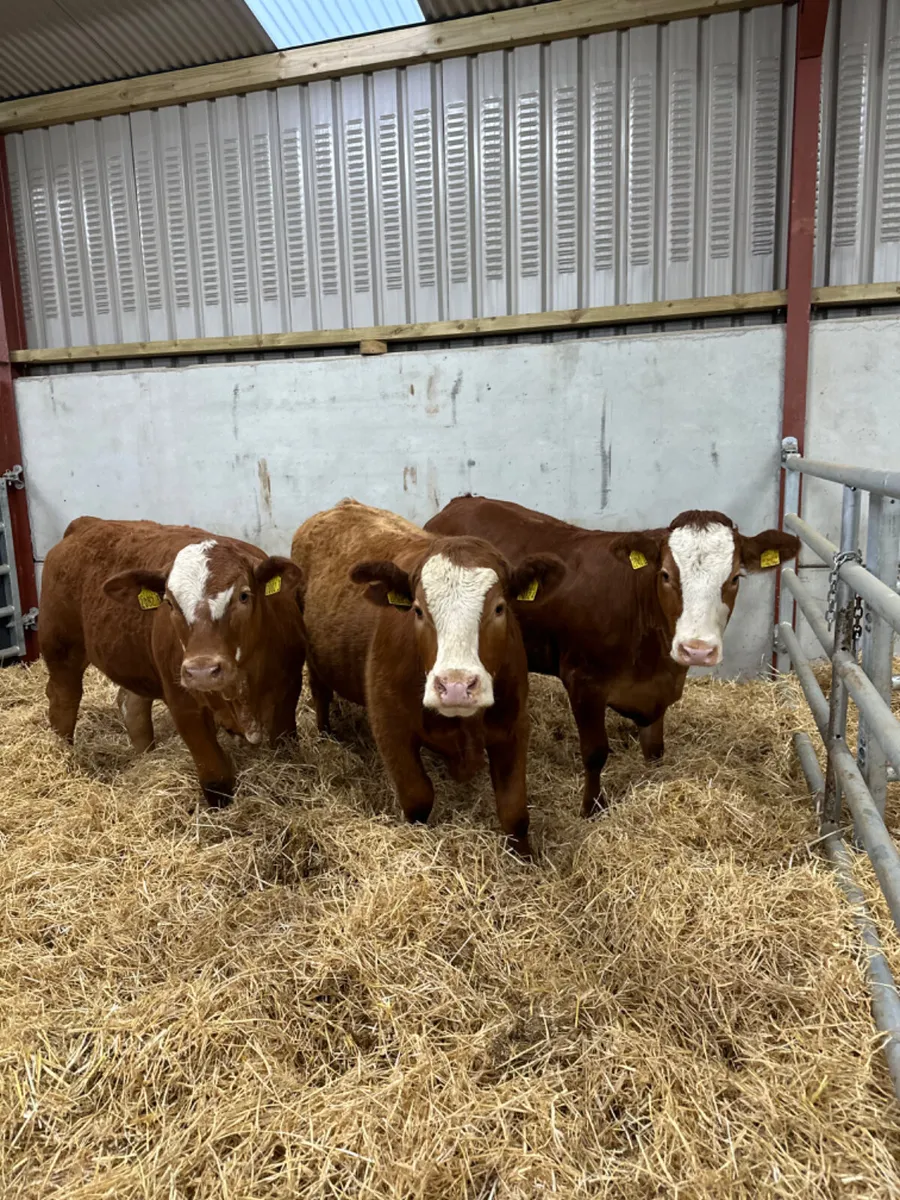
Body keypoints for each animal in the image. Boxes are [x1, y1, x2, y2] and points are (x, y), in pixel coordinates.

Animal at [40, 517, 306, 806]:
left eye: (244, 595)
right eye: (169, 602)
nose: (202, 671)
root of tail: (86, 523)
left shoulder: (288, 691)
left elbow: (285, 752)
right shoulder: (184, 704)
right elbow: (216, 779)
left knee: (131, 705)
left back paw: (145, 755)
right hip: (61, 649)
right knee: (63, 700)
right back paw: (62, 752)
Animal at [291, 499, 565, 857]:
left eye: (499, 608)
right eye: (418, 610)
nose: (456, 687)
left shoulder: (514, 724)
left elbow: (514, 811)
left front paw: (526, 860)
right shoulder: (390, 726)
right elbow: (418, 798)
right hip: (313, 655)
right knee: (320, 693)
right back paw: (327, 733)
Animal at [425, 497, 800, 816]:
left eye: (735, 578)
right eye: (665, 575)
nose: (697, 648)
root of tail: (461, 502)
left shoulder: (657, 692)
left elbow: (654, 750)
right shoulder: (583, 682)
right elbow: (595, 753)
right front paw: (592, 808)